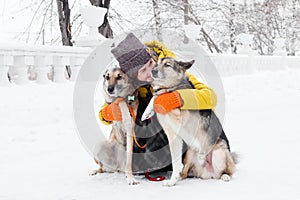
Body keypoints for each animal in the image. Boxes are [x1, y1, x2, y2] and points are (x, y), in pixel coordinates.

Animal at [142, 57, 236, 186]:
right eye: (156, 64)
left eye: (167, 65)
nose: (153, 71)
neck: (171, 87)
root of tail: (207, 173)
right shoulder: (173, 135)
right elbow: (156, 97)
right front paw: (147, 112)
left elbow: (162, 97)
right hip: (190, 153)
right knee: (183, 170)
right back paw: (175, 179)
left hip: (219, 153)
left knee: (226, 171)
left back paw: (225, 176)